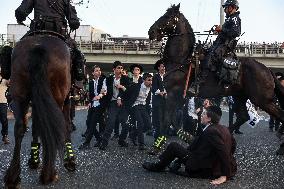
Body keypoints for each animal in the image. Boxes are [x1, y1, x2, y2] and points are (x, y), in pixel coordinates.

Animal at [2, 31, 75, 188]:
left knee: (20, 127)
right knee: (54, 127)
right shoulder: (66, 100)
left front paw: (34, 158)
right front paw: (70, 160)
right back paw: (49, 174)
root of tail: (39, 46)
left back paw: (13, 176)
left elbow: (37, 125)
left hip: (20, 94)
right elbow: (65, 125)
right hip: (57, 96)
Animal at [148, 4, 284, 154]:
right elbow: (174, 120)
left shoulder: (173, 94)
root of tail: (267, 68)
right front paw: (188, 137)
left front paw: (157, 145)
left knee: (280, 115)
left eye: (167, 16)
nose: (151, 32)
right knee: (244, 116)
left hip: (261, 100)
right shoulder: (179, 97)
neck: (181, 61)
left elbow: (167, 120)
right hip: (240, 96)